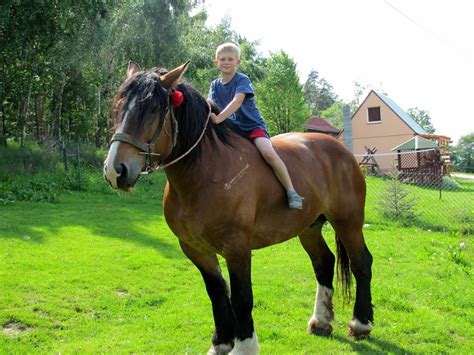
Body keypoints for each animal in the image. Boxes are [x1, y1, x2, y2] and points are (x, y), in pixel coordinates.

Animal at [103, 61, 374, 354]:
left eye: (152, 110)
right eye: (118, 108)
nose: (115, 170)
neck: (206, 173)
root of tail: (342, 150)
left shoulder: (237, 248)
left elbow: (242, 297)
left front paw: (244, 345)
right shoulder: (195, 249)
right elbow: (217, 293)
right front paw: (221, 341)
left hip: (348, 222)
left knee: (362, 263)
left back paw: (361, 323)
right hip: (309, 227)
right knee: (324, 263)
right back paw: (321, 322)